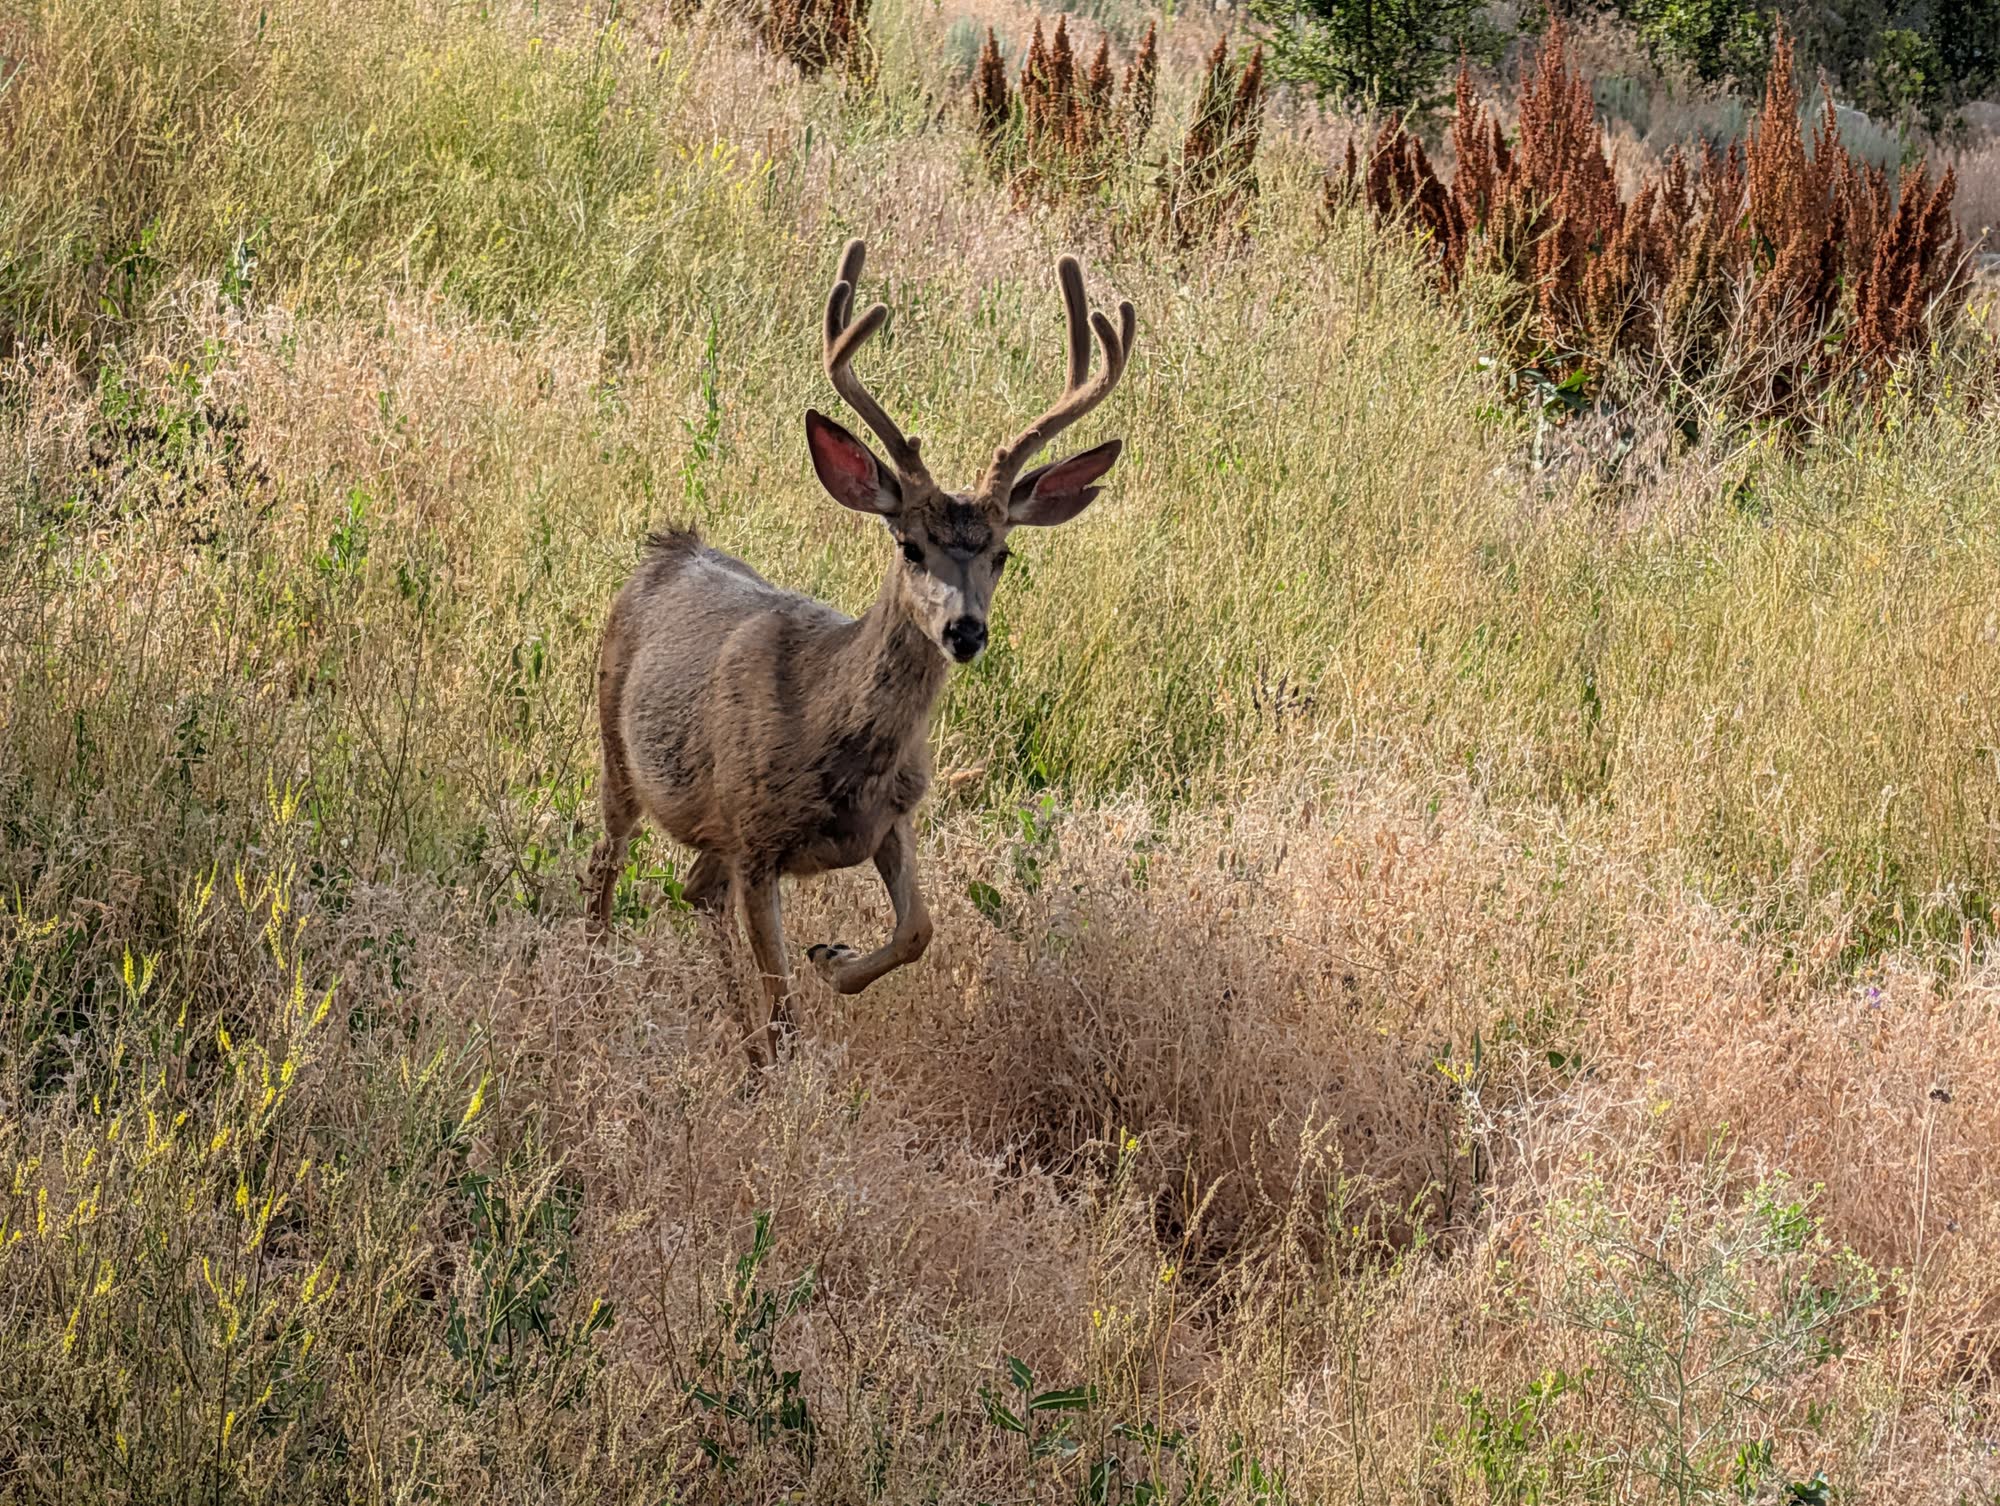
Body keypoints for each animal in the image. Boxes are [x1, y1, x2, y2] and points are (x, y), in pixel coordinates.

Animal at [586, 239, 1135, 1066]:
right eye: (910, 545)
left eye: (1002, 553)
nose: (965, 631)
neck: (833, 738)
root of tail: (669, 547)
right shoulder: (757, 839)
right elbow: (787, 1013)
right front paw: (788, 1042)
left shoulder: (890, 818)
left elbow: (918, 931)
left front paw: (833, 958)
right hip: (619, 747)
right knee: (606, 866)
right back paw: (589, 990)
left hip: (710, 828)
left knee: (693, 890)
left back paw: (740, 1039)